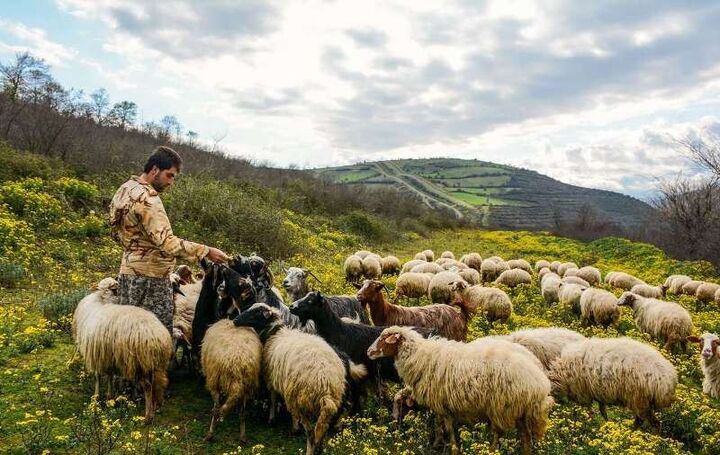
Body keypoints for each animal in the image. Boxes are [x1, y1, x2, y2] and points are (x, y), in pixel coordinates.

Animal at [73, 278, 173, 420]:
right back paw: (156, 406)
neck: (102, 302)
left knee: (148, 387)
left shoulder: (96, 354)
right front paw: (109, 396)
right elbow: (110, 375)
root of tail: (158, 337)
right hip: (153, 364)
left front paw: (96, 398)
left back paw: (147, 416)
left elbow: (98, 376)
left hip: (138, 364)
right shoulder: (108, 356)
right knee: (157, 384)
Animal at [233, 302, 366, 455]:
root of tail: (326, 381)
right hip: (334, 399)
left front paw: (273, 419)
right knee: (324, 428)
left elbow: (272, 397)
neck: (276, 333)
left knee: (310, 432)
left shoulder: (274, 378)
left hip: (301, 399)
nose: (235, 320)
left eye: (255, 313)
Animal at [368, 326, 556, 454]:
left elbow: (448, 429)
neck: (421, 356)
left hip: (501, 406)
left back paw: (491, 450)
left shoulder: (444, 405)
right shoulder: (440, 405)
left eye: (384, 338)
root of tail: (539, 381)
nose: (369, 352)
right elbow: (439, 425)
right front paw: (438, 444)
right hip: (518, 409)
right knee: (525, 436)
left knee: (499, 432)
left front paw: (451, 448)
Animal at [548, 336, 676, 430]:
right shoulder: (597, 392)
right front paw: (606, 423)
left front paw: (591, 423)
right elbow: (602, 409)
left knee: (643, 420)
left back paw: (632, 432)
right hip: (645, 401)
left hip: (639, 398)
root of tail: (668, 381)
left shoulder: (584, 391)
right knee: (654, 422)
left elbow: (590, 410)